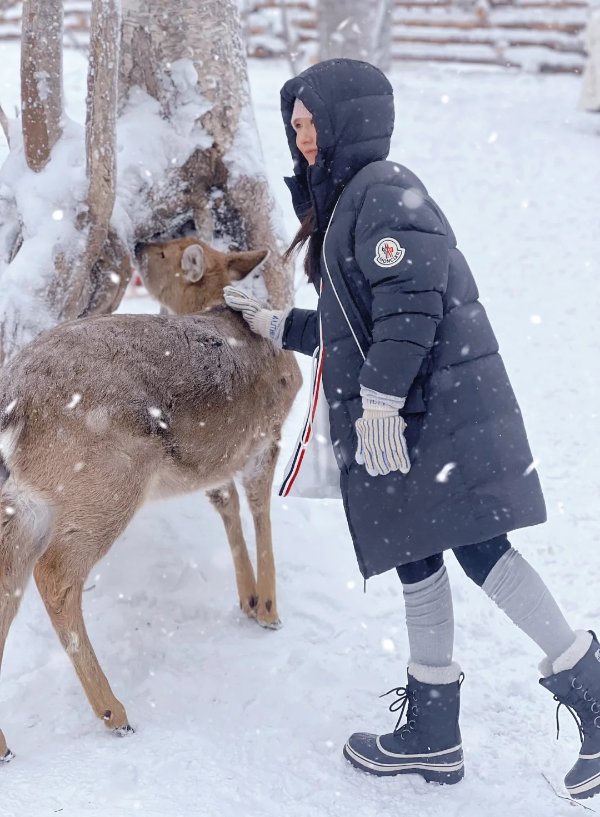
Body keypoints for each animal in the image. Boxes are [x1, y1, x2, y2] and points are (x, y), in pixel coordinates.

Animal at [0, 236, 300, 760]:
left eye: (170, 251)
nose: (141, 242)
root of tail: (13, 403)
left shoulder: (213, 465)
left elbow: (227, 505)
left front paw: (248, 601)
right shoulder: (265, 436)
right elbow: (260, 506)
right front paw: (268, 611)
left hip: (29, 499)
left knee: (6, 581)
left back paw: (5, 745)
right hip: (107, 481)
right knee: (54, 574)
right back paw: (115, 714)